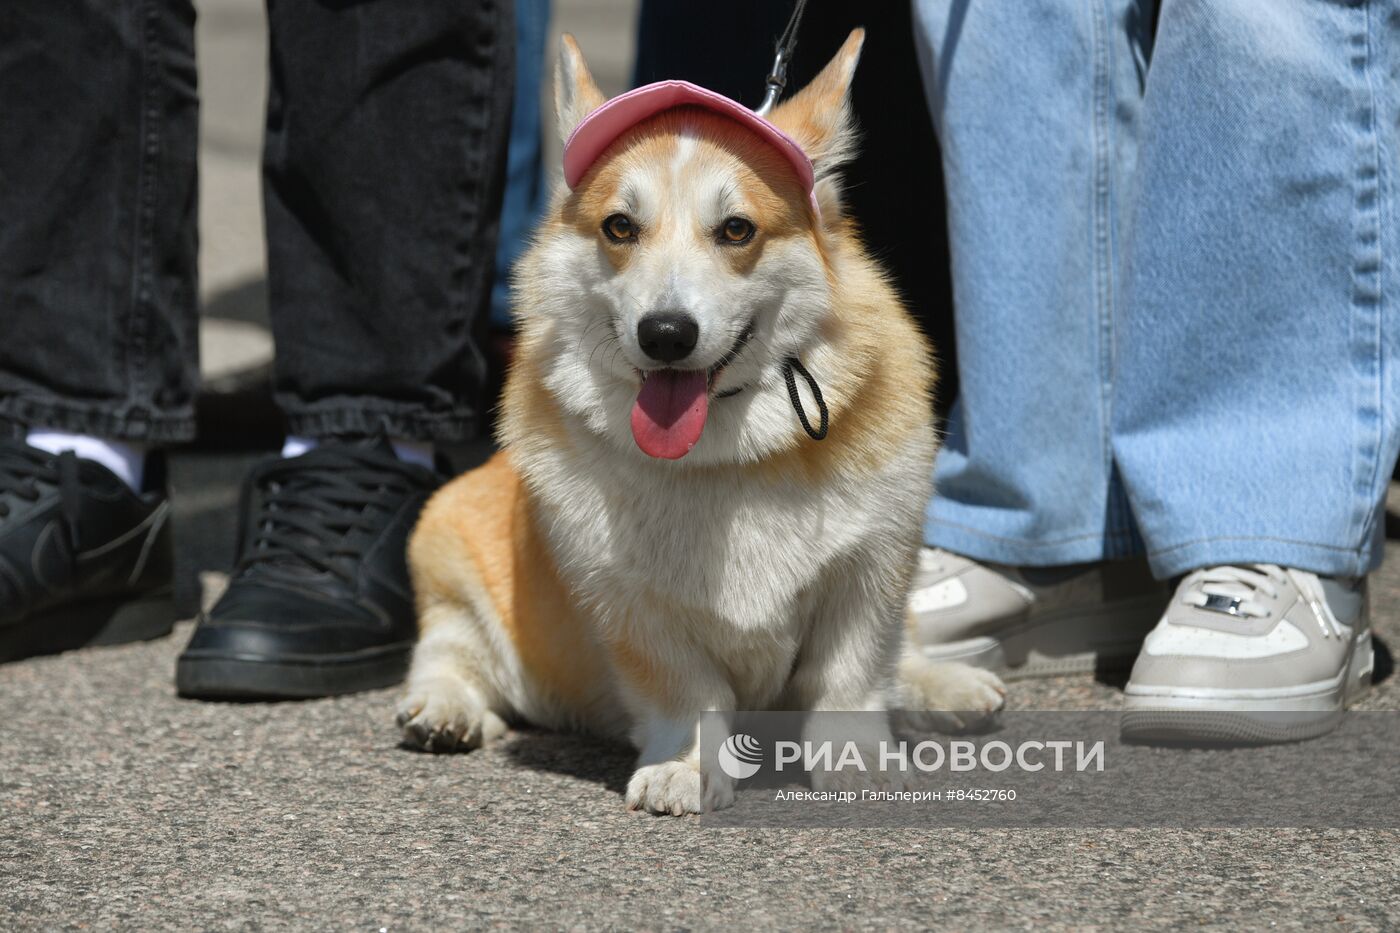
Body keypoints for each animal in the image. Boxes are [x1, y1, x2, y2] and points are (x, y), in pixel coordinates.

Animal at [397, 30, 1008, 812]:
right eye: (619, 227)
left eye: (737, 229)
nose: (665, 334)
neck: (730, 454)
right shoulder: (631, 606)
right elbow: (687, 693)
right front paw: (685, 769)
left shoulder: (870, 571)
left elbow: (852, 673)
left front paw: (859, 758)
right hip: (448, 553)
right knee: (449, 653)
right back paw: (441, 710)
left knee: (907, 652)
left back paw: (947, 686)